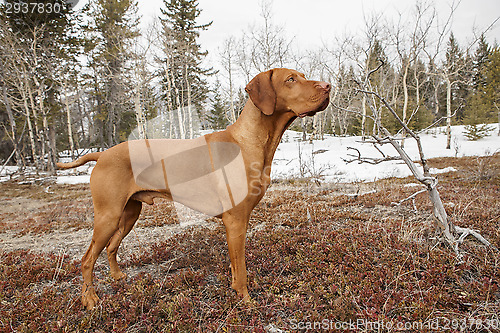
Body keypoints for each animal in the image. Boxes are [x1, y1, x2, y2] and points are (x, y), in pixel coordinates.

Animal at [57, 67, 332, 308]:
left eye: (303, 76)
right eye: (290, 79)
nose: (328, 86)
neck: (249, 141)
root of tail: (101, 154)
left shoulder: (237, 221)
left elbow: (235, 266)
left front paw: (236, 291)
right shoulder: (235, 220)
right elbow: (242, 269)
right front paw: (246, 301)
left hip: (129, 213)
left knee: (111, 247)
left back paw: (116, 277)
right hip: (108, 215)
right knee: (86, 259)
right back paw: (89, 299)